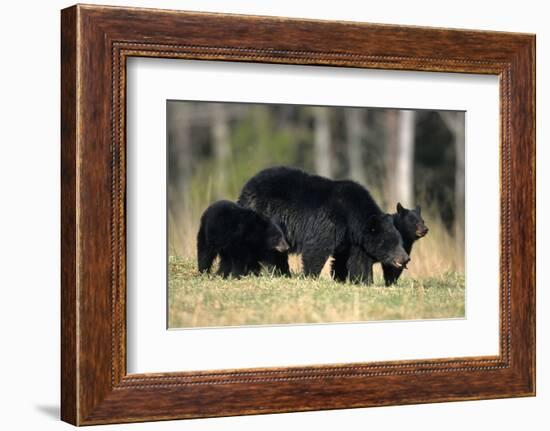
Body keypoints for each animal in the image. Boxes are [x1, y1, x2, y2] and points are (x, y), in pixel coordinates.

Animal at [239, 165, 412, 280]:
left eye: (400, 241)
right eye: (391, 243)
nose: (405, 258)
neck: (353, 218)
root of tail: (246, 187)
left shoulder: (353, 239)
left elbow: (355, 259)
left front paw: (359, 280)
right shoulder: (330, 221)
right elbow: (317, 247)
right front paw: (310, 275)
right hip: (266, 214)